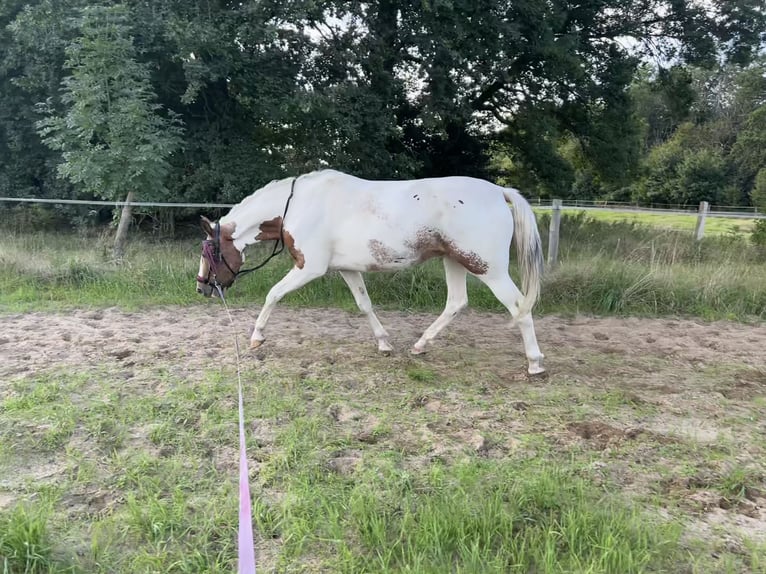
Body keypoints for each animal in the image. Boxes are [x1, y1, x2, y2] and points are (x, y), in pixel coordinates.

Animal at [195, 169, 548, 376]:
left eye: (208, 252)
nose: (202, 287)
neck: (297, 204)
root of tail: (499, 192)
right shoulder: (347, 269)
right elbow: (365, 305)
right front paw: (384, 344)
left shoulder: (310, 268)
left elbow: (273, 294)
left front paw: (256, 338)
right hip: (456, 261)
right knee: (456, 303)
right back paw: (420, 345)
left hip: (488, 268)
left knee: (519, 307)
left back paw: (535, 363)